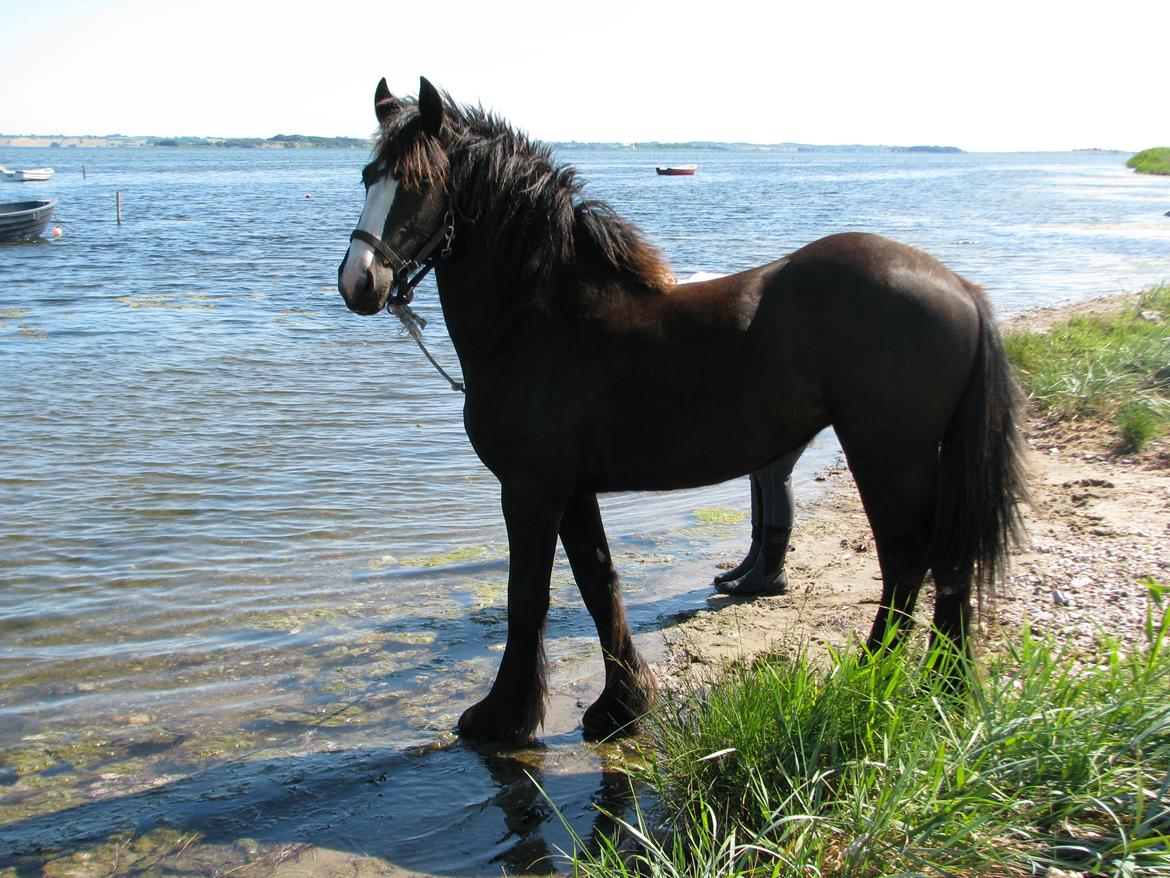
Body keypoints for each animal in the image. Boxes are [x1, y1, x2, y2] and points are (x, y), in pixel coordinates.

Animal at [336, 79, 1024, 744]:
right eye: (369, 176)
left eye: (419, 183)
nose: (358, 282)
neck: (541, 317)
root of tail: (959, 287)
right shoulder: (571, 490)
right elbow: (600, 583)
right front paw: (621, 705)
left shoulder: (530, 489)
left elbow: (526, 595)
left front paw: (502, 717)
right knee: (935, 565)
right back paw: (938, 687)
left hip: (888, 458)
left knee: (913, 563)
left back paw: (883, 680)